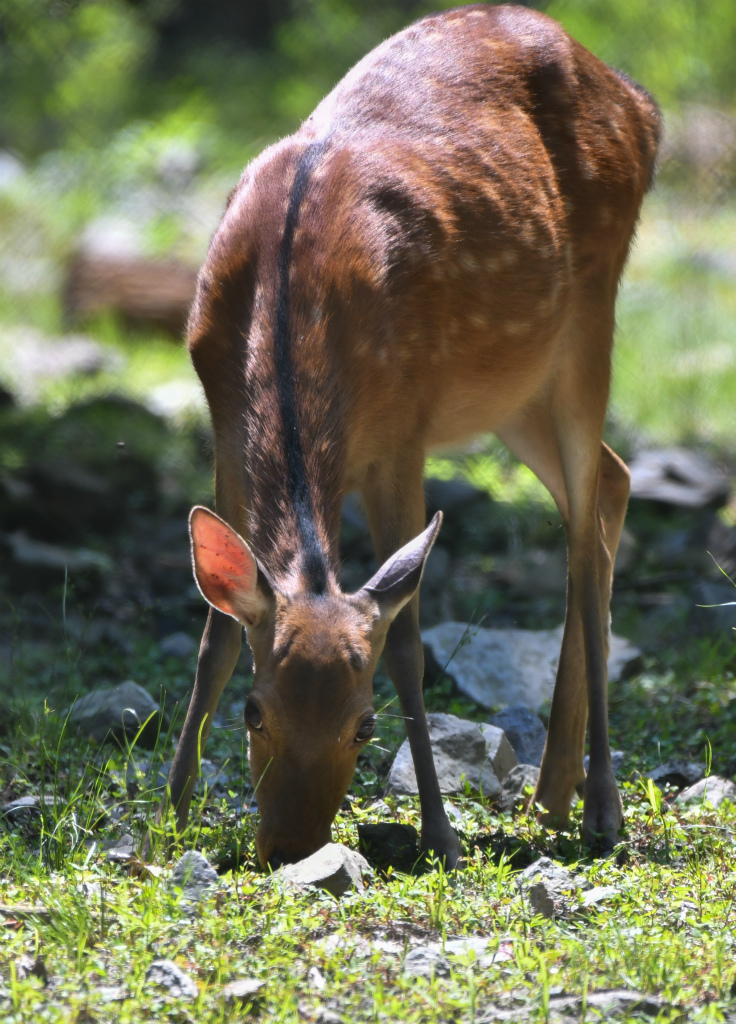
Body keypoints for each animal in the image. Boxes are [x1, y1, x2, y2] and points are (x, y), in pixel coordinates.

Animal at [159, 4, 663, 872]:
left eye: (365, 724)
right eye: (254, 712)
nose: (291, 847)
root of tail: (640, 103)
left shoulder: (403, 430)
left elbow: (406, 643)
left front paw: (440, 834)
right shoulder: (223, 425)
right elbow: (217, 633)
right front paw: (169, 817)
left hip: (589, 321)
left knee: (584, 531)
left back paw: (600, 805)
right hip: (514, 388)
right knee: (611, 482)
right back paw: (552, 791)